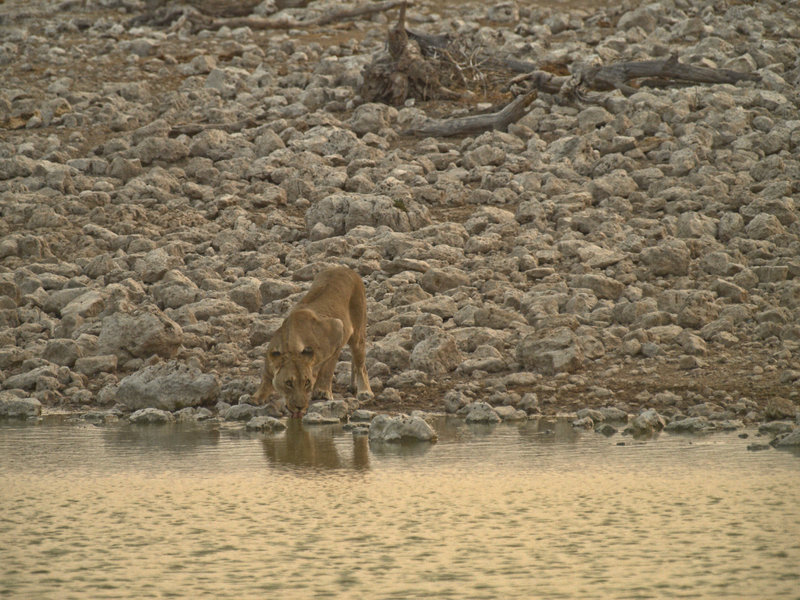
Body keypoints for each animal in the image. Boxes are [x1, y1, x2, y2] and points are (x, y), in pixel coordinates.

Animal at [253, 266, 374, 418]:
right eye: (288, 383)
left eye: (307, 382)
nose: (299, 407)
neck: (292, 346)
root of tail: (345, 268)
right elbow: (266, 378)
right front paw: (257, 397)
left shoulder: (337, 328)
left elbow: (328, 367)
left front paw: (322, 392)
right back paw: (353, 386)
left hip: (358, 330)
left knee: (360, 364)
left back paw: (365, 392)